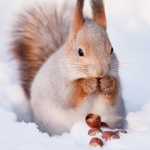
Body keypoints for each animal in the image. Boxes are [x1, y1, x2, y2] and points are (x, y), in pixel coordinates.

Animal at [11, 0, 125, 135]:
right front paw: (88, 84)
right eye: (80, 52)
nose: (100, 71)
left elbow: (112, 97)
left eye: (112, 50)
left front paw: (108, 83)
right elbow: (70, 98)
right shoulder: (59, 85)